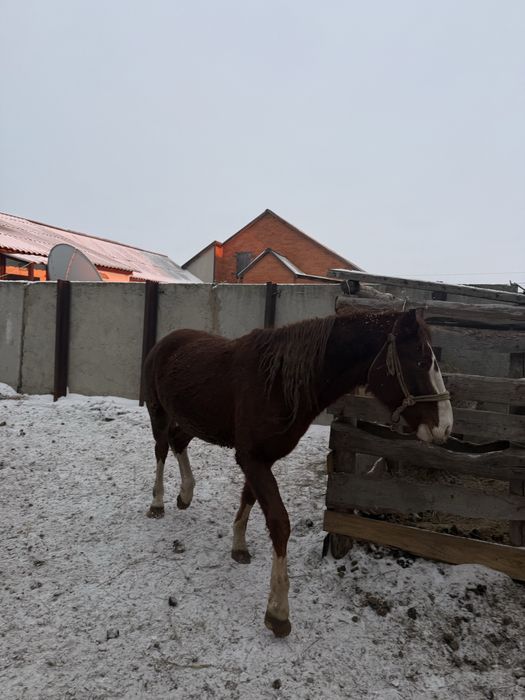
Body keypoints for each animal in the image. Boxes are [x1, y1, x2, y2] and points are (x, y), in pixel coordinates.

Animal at [142, 308, 453, 637]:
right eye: (421, 360)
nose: (445, 428)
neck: (277, 383)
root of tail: (165, 341)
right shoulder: (252, 458)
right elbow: (279, 523)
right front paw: (278, 611)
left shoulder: (261, 459)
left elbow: (249, 498)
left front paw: (239, 546)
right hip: (158, 412)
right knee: (161, 449)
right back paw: (158, 503)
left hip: (193, 421)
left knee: (178, 442)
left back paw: (185, 494)